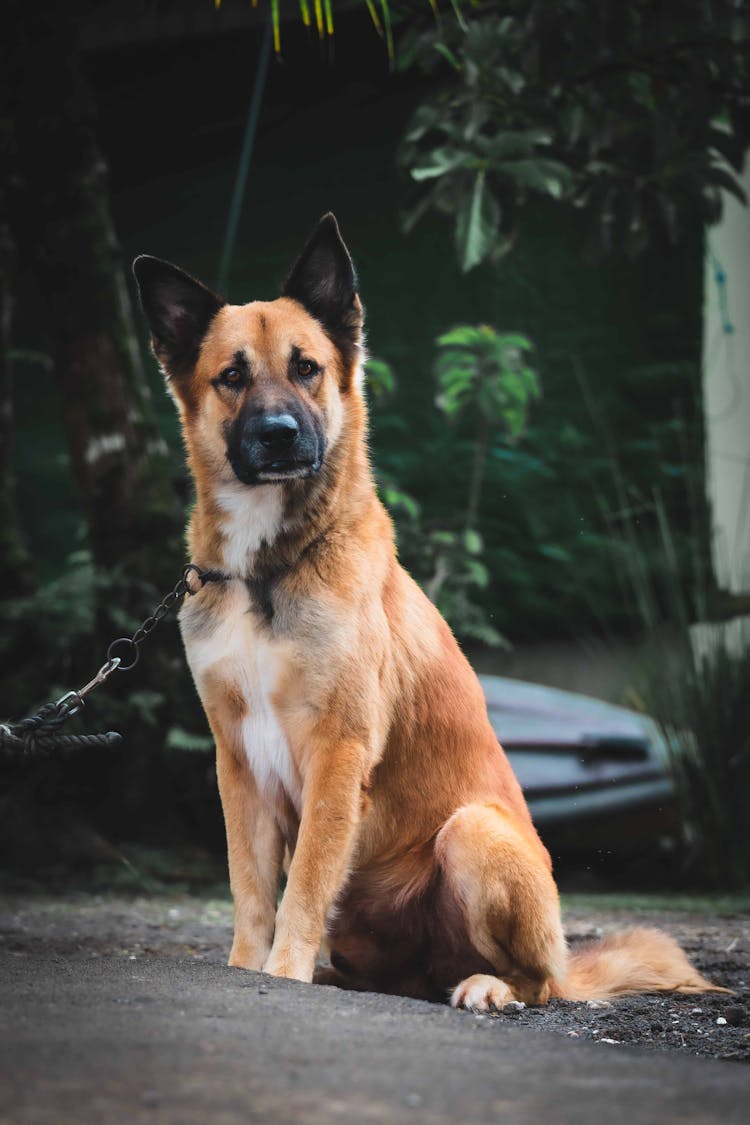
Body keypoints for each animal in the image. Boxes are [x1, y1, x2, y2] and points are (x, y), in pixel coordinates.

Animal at [132, 214, 724, 1008]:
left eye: (307, 367)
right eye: (232, 376)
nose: (280, 433)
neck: (269, 567)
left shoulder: (338, 750)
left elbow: (303, 885)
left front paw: (282, 975)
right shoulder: (239, 761)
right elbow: (253, 889)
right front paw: (247, 966)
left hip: (472, 833)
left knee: (531, 980)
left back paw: (486, 986)